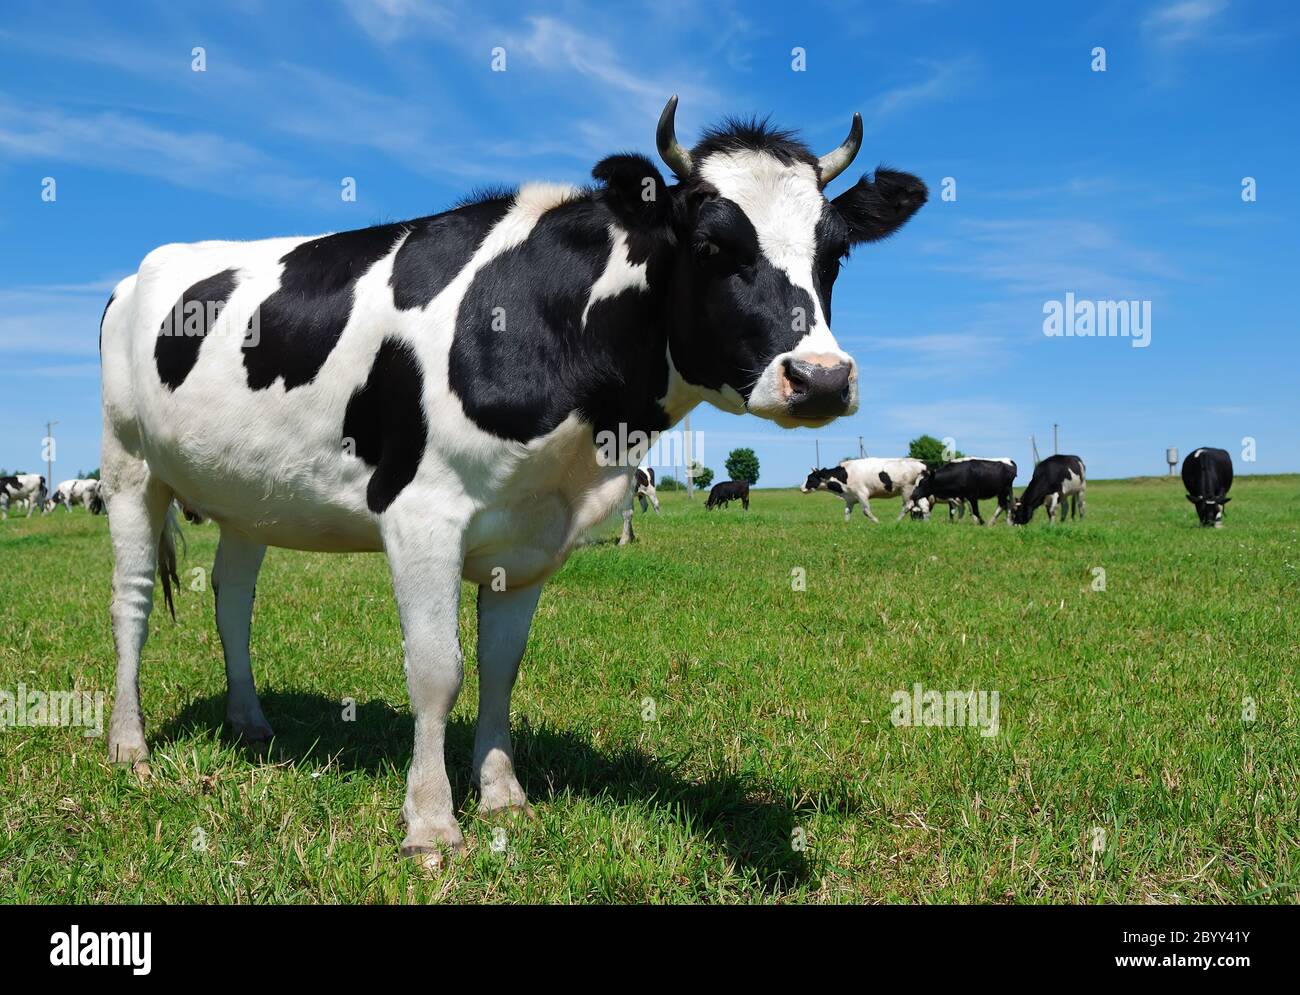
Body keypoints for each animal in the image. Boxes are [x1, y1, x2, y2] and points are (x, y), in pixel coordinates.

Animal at [97, 95, 926, 865]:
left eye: (835, 254)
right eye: (712, 244)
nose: (821, 378)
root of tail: (140, 269)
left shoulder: (529, 538)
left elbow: (500, 669)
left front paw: (501, 795)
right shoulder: (420, 513)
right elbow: (438, 671)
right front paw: (432, 824)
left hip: (249, 496)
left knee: (233, 598)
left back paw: (251, 723)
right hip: (128, 466)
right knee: (132, 602)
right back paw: (129, 746)